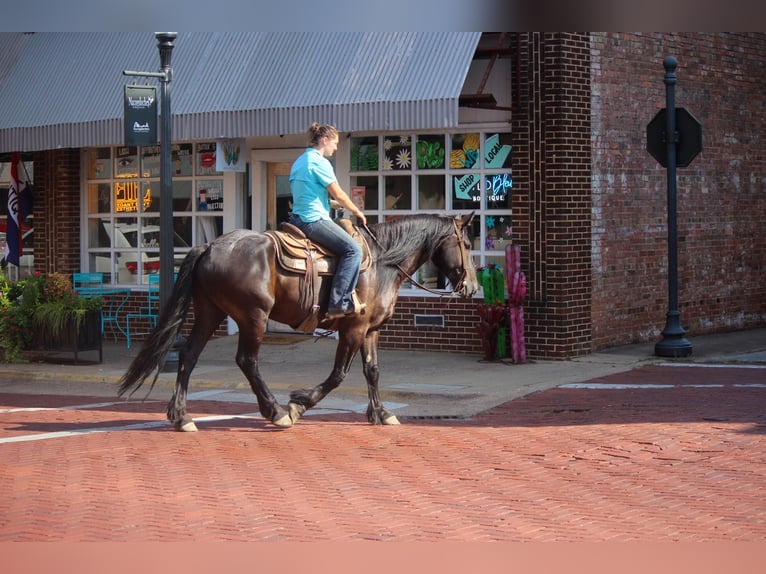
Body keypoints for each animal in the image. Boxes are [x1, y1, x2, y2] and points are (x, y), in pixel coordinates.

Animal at [118, 214, 480, 430]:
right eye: (466, 244)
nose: (473, 288)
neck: (382, 263)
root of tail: (209, 246)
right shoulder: (353, 330)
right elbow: (338, 375)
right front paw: (299, 403)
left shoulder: (371, 331)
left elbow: (372, 371)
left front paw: (381, 413)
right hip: (253, 316)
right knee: (247, 360)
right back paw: (276, 412)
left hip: (210, 313)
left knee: (189, 356)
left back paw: (181, 416)